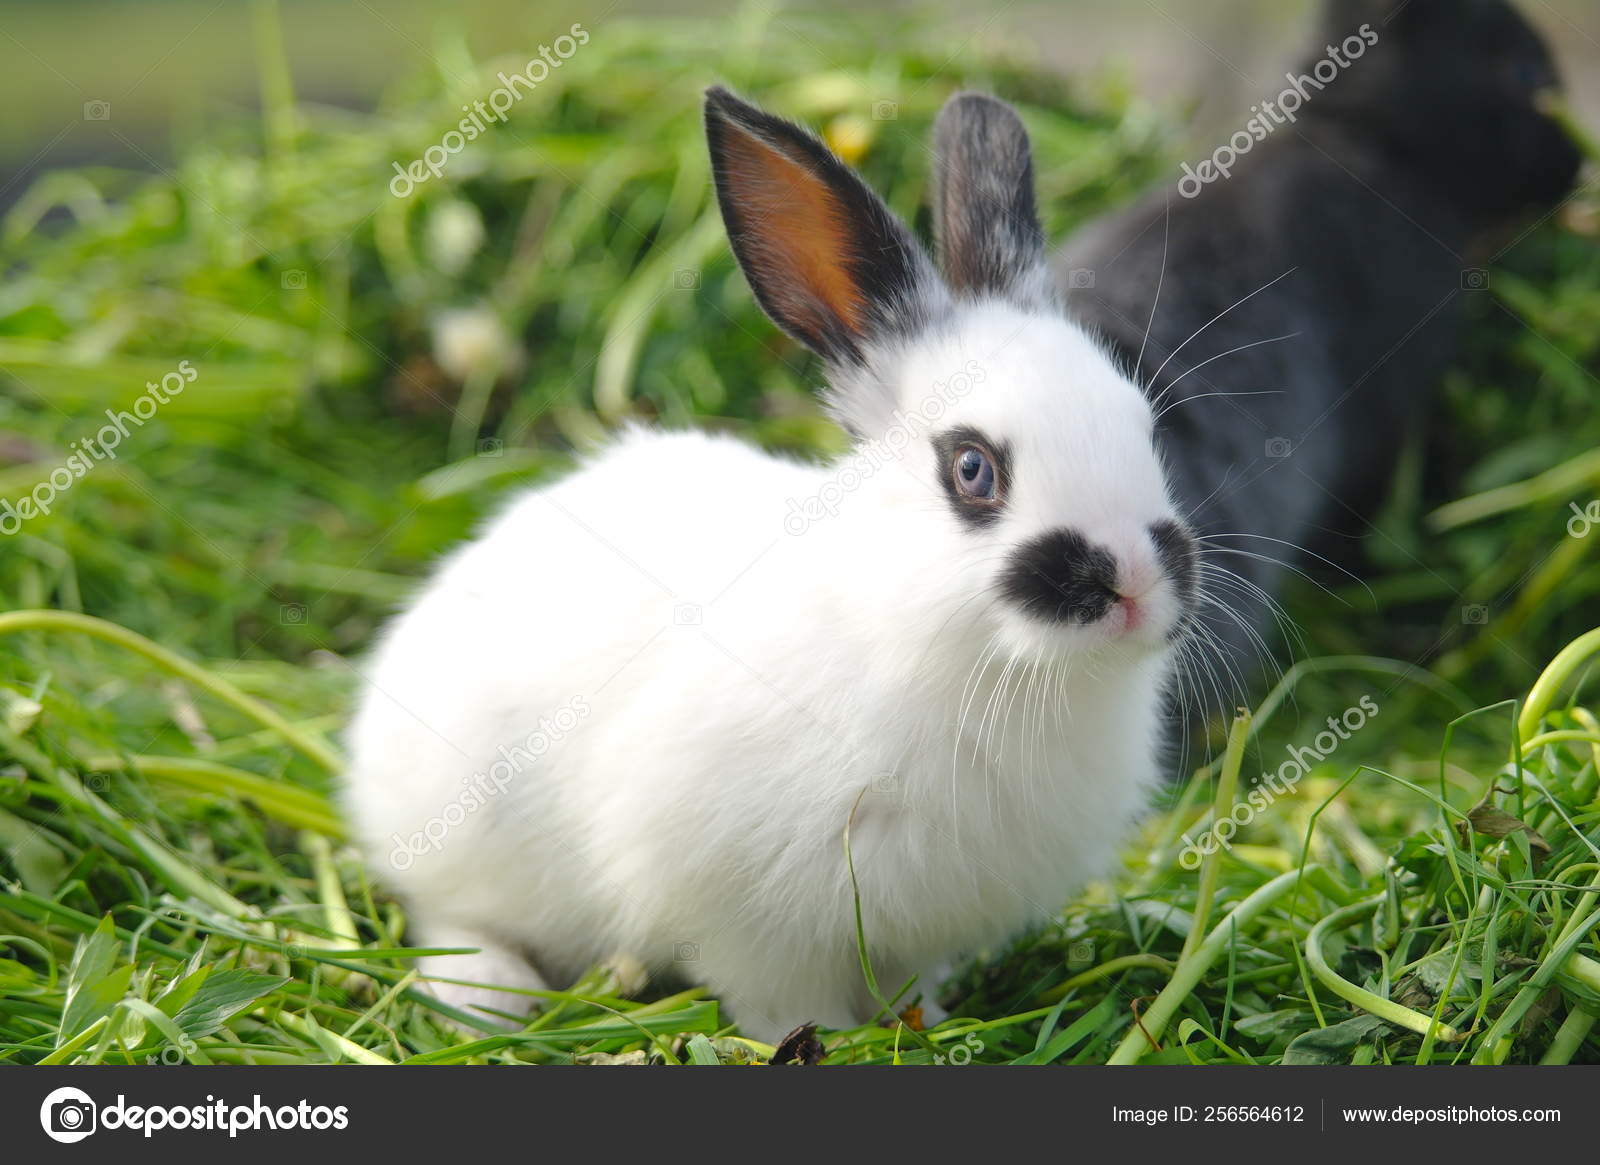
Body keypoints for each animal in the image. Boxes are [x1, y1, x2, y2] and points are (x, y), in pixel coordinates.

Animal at [343, 87, 1201, 1041]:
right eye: (972, 468)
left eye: (1143, 427)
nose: (1133, 584)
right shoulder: (742, 912)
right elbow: (780, 996)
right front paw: (820, 1038)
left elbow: (907, 982)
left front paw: (922, 1021)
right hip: (458, 832)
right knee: (446, 911)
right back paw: (490, 992)